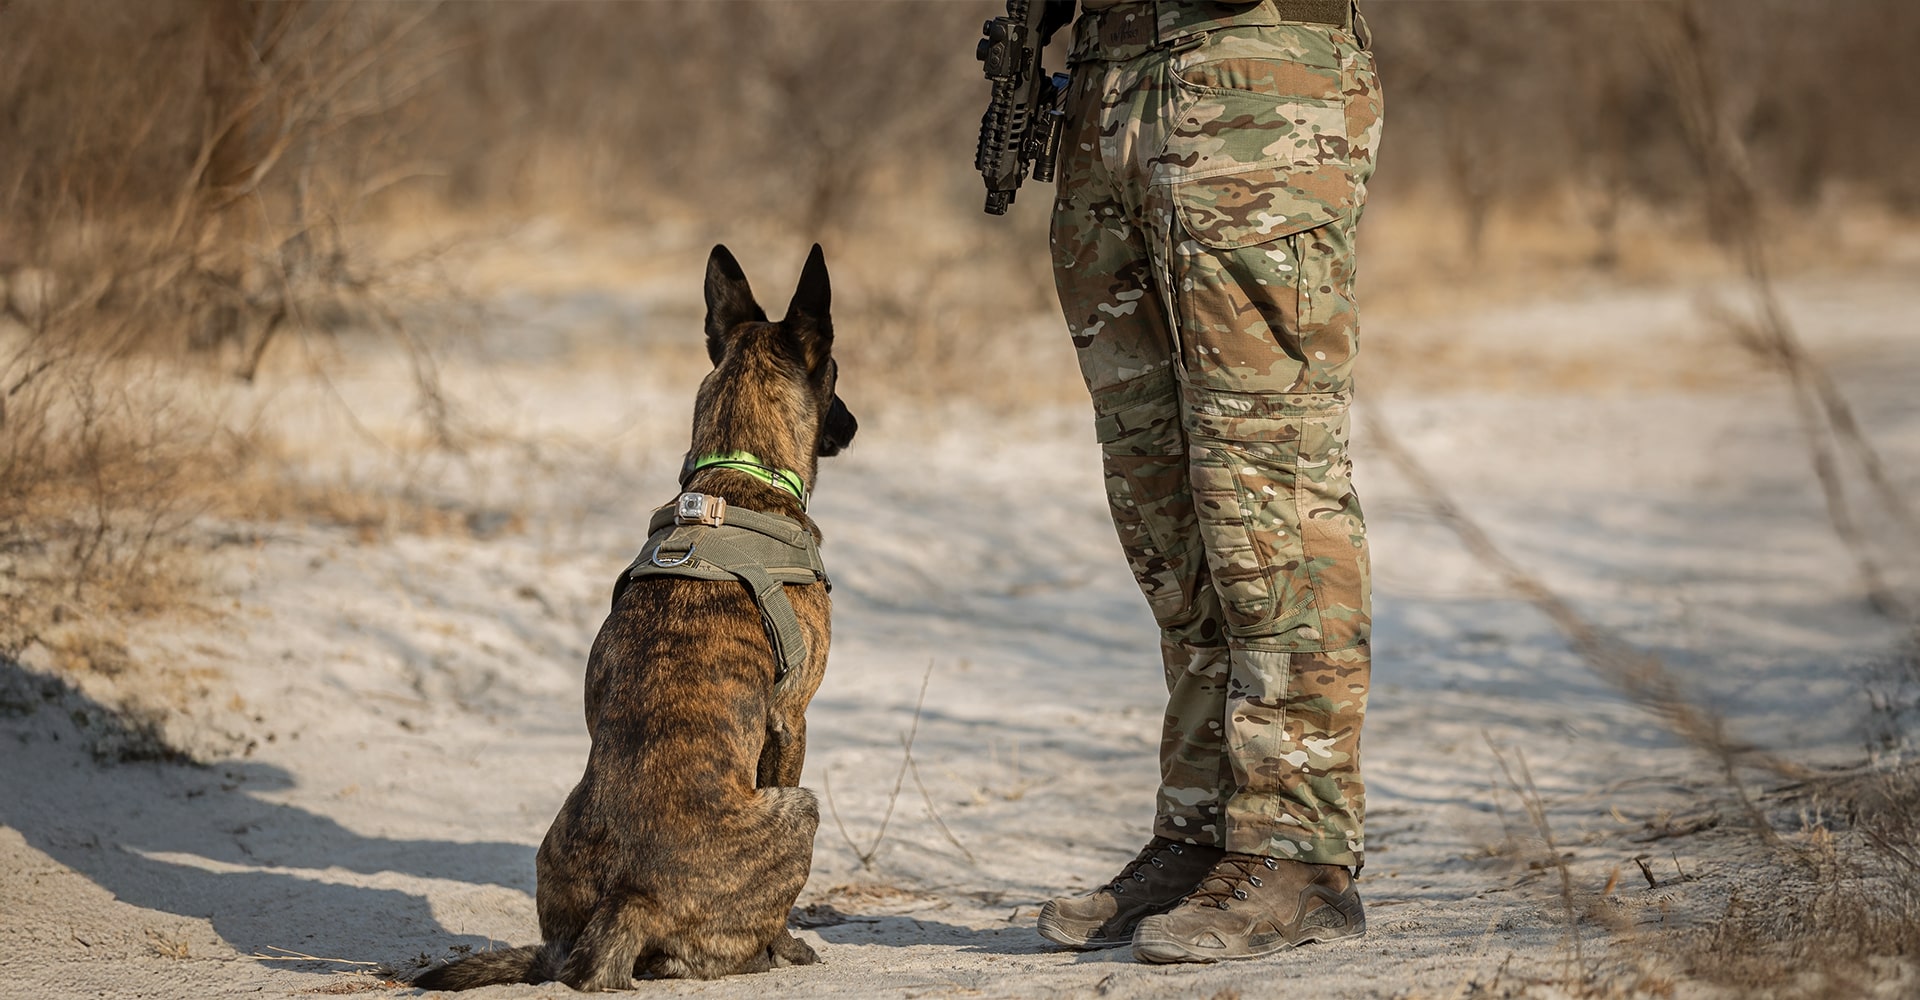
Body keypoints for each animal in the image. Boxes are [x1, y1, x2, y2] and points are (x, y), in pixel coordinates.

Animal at [416, 245, 860, 982]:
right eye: (837, 373)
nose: (853, 425)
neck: (738, 474)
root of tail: (633, 898)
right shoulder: (791, 719)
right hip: (800, 808)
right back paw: (778, 950)